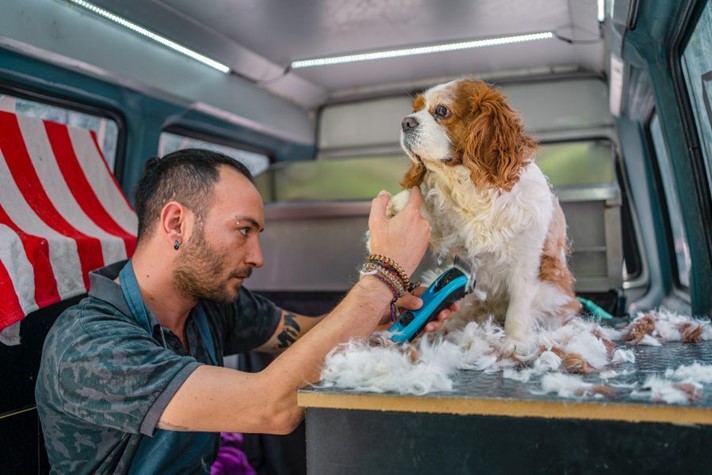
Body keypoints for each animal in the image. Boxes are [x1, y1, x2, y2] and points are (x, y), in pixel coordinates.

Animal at [390, 80, 580, 344]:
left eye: (442, 111)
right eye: (415, 109)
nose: (406, 122)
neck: (474, 190)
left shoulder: (526, 266)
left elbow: (518, 312)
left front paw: (513, 343)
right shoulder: (453, 239)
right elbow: (435, 219)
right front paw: (400, 204)